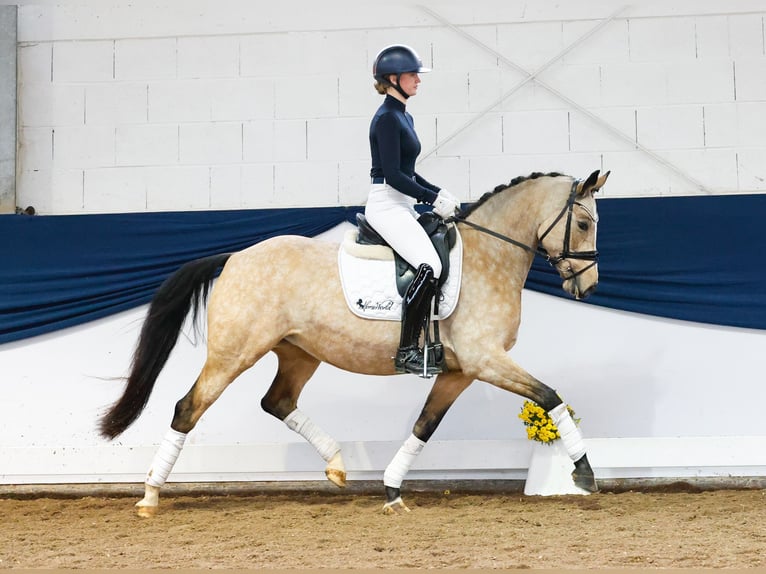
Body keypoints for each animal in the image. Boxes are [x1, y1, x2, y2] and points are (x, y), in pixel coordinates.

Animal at [99, 170, 612, 516]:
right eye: (585, 224)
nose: (588, 287)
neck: (490, 254)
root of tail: (235, 257)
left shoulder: (461, 371)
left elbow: (424, 426)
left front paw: (392, 490)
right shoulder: (487, 361)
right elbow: (550, 396)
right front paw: (583, 473)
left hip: (299, 352)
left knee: (277, 401)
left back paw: (337, 465)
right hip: (233, 354)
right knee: (188, 408)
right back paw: (149, 495)